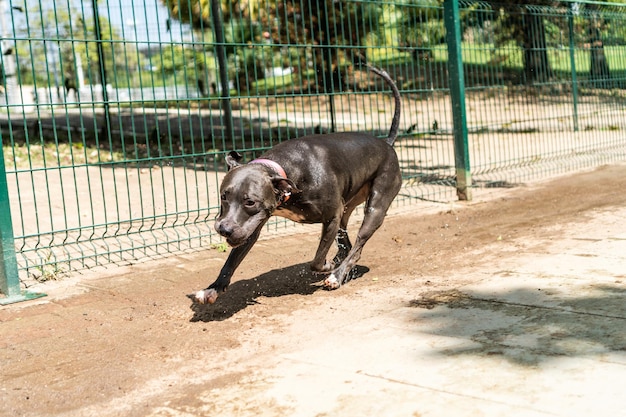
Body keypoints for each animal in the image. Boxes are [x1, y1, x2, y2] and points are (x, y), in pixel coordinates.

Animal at [193, 66, 402, 306]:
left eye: (250, 202)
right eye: (224, 196)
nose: (224, 228)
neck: (286, 172)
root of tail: (386, 143)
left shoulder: (331, 216)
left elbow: (317, 260)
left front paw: (328, 267)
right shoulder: (252, 227)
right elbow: (230, 262)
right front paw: (213, 289)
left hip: (375, 208)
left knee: (357, 246)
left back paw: (337, 275)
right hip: (346, 210)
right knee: (347, 245)